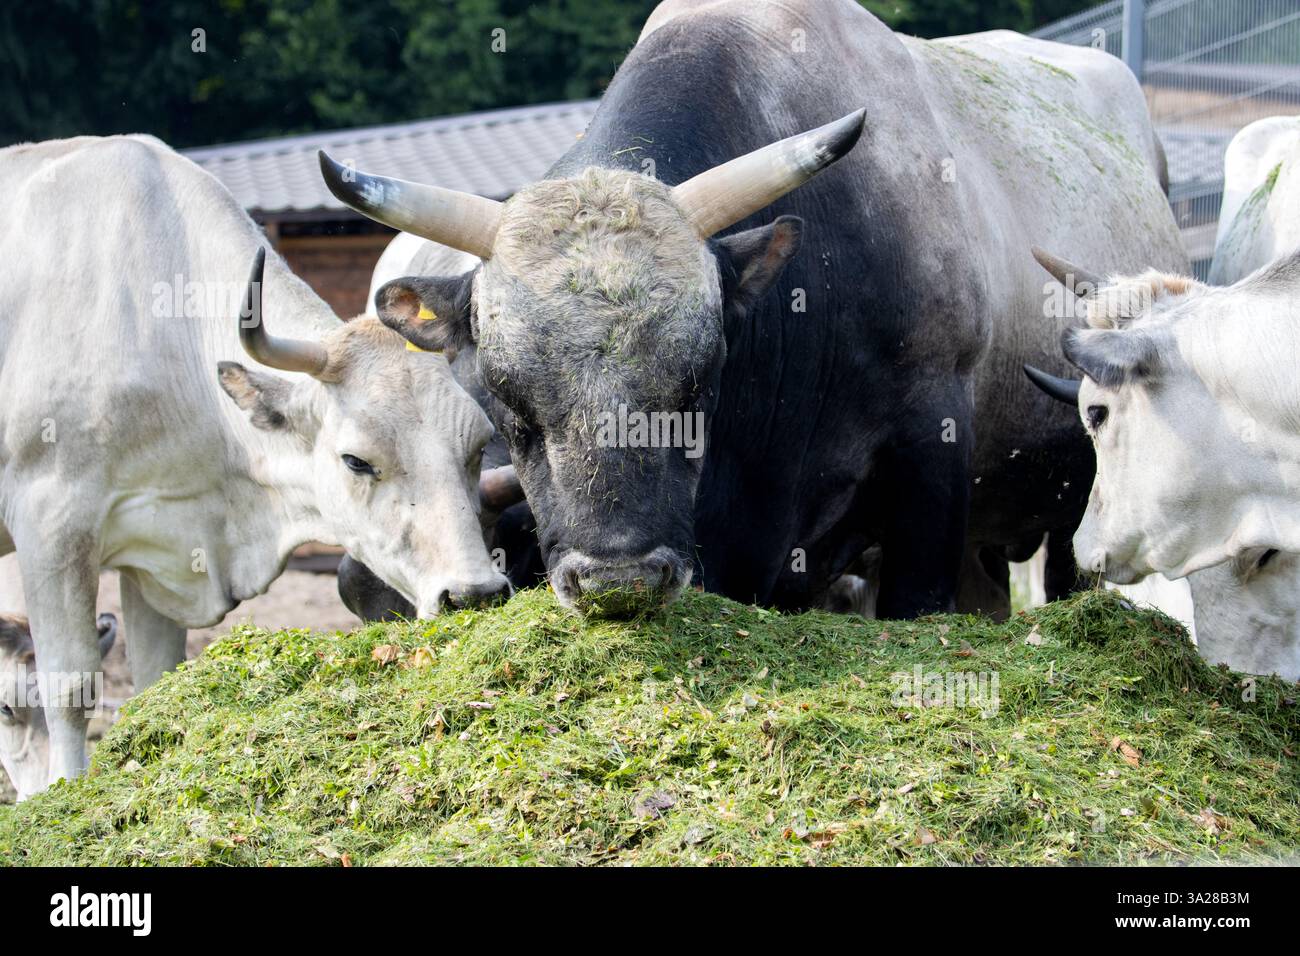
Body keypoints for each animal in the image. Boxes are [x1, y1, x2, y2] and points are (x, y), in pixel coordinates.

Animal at [0, 134, 511, 792]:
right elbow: (69, 689)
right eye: (356, 460)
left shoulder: (158, 552)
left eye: (476, 445)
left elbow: (154, 679)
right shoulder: (51, 526)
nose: (473, 594)